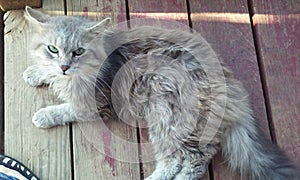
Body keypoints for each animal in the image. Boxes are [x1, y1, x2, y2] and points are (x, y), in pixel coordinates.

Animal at [22, 6, 298, 179]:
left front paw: (44, 115)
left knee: (187, 162)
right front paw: (36, 72)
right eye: (52, 49)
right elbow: (45, 71)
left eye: (78, 51)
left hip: (165, 113)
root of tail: (233, 90)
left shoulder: (94, 104)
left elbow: (65, 109)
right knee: (191, 156)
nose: (65, 67)